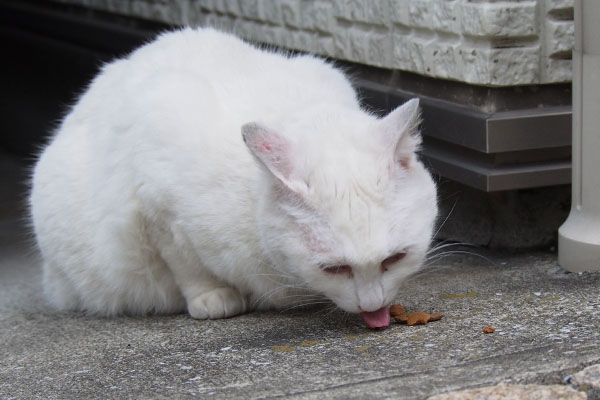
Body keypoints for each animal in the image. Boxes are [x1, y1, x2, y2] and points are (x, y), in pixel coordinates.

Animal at [30, 28, 436, 328]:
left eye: (394, 259)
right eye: (335, 269)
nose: (373, 306)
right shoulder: (156, 204)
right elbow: (185, 263)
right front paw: (212, 297)